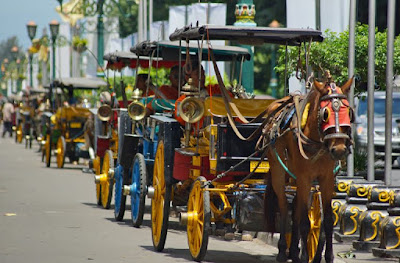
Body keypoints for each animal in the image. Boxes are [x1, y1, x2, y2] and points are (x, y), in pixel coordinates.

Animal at [262, 78, 354, 263]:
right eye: (325, 114)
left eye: (348, 112)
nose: (339, 149)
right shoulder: (304, 178)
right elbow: (305, 222)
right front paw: (305, 256)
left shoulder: (326, 179)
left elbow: (327, 221)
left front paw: (326, 256)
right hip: (278, 172)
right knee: (284, 206)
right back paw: (283, 250)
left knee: (295, 209)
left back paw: (293, 251)